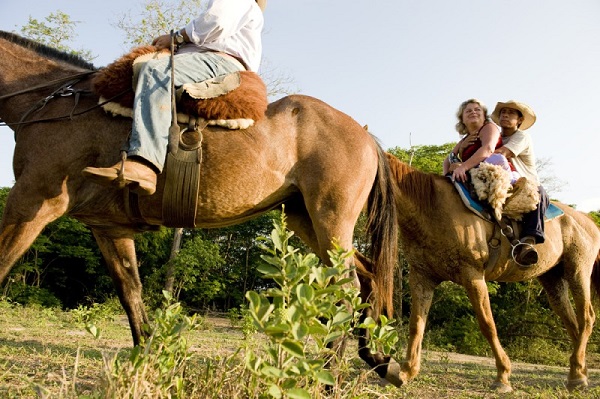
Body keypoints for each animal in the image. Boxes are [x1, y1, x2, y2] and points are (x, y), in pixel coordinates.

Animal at [0, 30, 404, 384]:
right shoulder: (108, 228)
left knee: (348, 288)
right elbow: (131, 292)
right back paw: (379, 360)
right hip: (306, 219)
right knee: (367, 277)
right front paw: (151, 359)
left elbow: (3, 263)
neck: (58, 104)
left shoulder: (32, 201)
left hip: (330, 217)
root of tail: (364, 133)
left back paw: (328, 375)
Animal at [384, 154, 600, 394]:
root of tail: (588, 220)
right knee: (572, 323)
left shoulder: (472, 275)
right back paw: (578, 374)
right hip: (552, 278)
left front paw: (502, 376)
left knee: (586, 318)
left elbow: (487, 324)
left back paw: (577, 375)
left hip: (578, 269)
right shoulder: (422, 277)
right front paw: (405, 372)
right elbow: (416, 324)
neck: (430, 207)